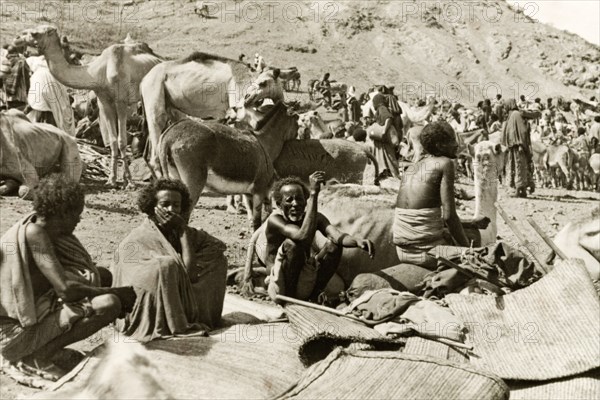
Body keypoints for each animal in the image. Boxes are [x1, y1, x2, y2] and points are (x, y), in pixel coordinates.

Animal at [14, 26, 163, 189]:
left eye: (34, 33)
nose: (16, 39)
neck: (98, 73)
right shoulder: (104, 101)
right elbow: (113, 141)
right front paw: (112, 180)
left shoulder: (121, 101)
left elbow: (122, 141)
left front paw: (129, 182)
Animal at [139, 54, 284, 176]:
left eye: (263, 83)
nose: (247, 97)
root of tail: (143, 80)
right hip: (154, 94)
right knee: (155, 150)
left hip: (170, 106)